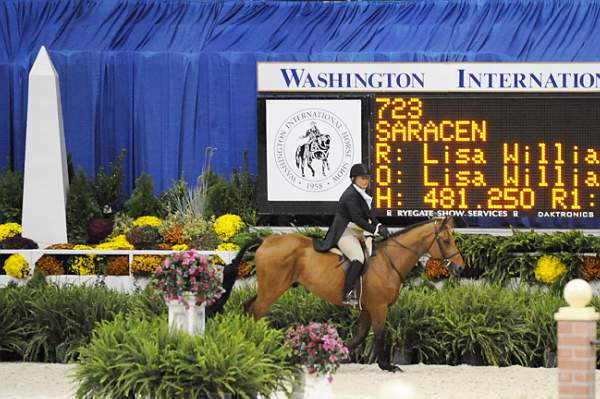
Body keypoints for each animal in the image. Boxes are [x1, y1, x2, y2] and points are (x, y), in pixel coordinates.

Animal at [214, 217, 464, 374]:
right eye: (446, 240)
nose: (460, 268)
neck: (389, 261)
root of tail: (266, 239)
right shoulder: (379, 308)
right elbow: (379, 335)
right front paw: (387, 366)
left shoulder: (367, 308)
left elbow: (358, 336)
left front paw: (331, 355)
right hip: (273, 289)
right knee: (255, 313)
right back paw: (258, 349)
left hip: (269, 288)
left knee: (248, 309)